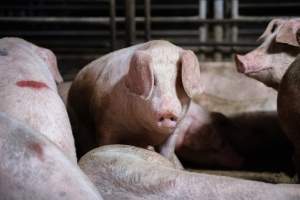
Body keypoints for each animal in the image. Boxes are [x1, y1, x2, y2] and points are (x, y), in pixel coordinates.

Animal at [68, 40, 202, 159]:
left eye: (178, 81)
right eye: (154, 80)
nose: (168, 112)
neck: (143, 132)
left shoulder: (173, 133)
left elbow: (166, 154)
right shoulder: (105, 125)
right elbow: (106, 145)